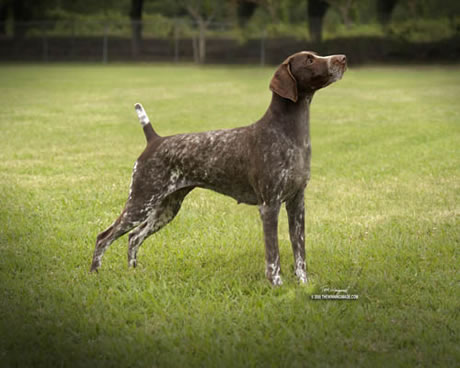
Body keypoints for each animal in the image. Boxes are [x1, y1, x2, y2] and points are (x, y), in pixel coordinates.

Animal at [91, 51, 346, 286]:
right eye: (310, 60)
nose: (342, 58)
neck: (289, 133)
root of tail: (154, 139)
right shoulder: (269, 205)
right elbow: (273, 257)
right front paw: (277, 285)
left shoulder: (297, 202)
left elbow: (299, 251)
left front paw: (303, 284)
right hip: (141, 202)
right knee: (104, 237)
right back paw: (95, 274)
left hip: (166, 207)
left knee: (134, 237)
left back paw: (133, 272)